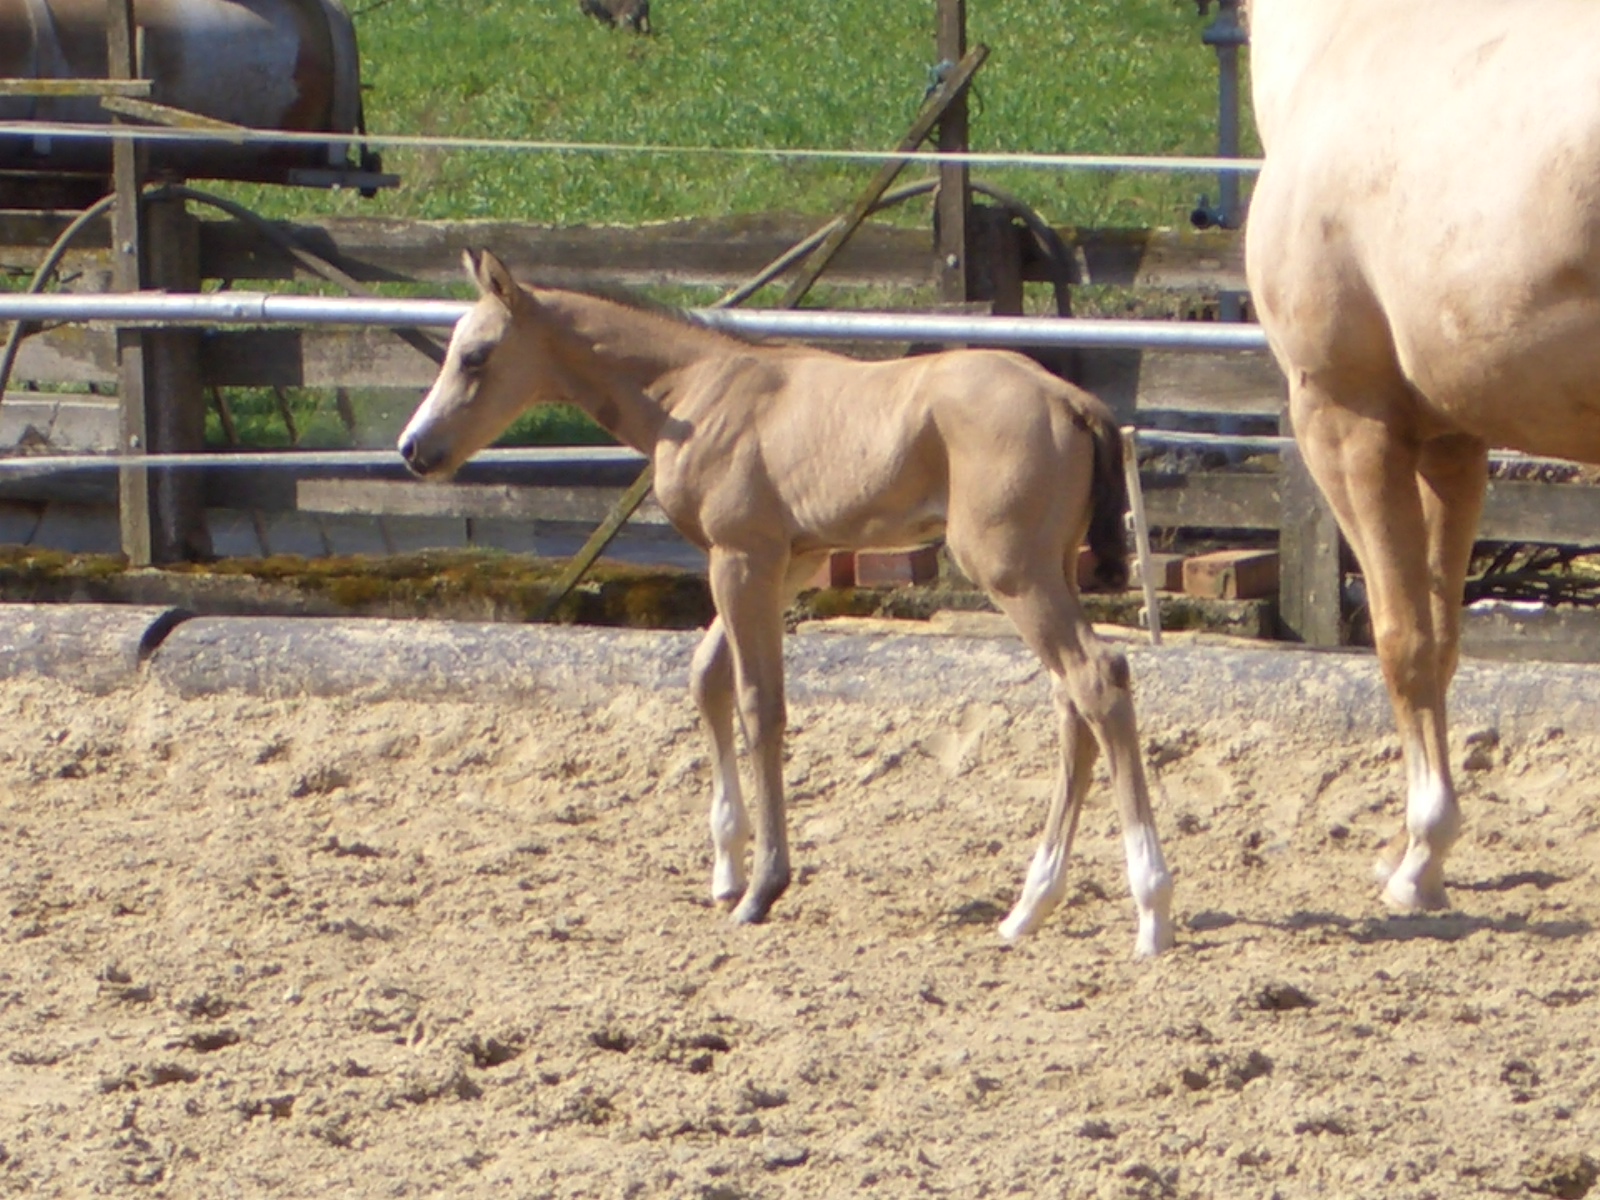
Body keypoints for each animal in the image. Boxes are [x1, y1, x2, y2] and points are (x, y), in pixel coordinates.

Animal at [398, 250, 1174, 957]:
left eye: (474, 356)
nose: (413, 449)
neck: (692, 395)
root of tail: (1071, 400)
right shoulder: (788, 562)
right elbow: (705, 677)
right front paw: (725, 868)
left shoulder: (740, 557)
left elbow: (757, 704)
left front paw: (763, 887)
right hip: (1049, 571)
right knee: (1071, 703)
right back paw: (1027, 909)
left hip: (1012, 572)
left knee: (1097, 679)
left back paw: (1151, 911)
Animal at [1245, 0, 1600, 911]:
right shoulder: (1451, 443)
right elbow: (1442, 639)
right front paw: (1422, 851)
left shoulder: (1345, 420)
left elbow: (1399, 639)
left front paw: (1419, 860)